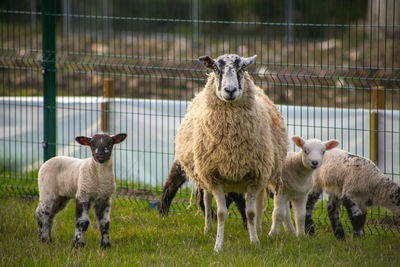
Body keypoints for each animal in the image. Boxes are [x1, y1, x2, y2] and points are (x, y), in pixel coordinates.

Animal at [175, 54, 288, 251]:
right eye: (215, 68)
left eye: (242, 68)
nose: (230, 90)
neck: (232, 144)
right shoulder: (214, 175)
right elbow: (221, 213)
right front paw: (218, 246)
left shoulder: (255, 174)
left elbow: (251, 212)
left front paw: (254, 241)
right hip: (204, 175)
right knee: (206, 199)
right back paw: (208, 229)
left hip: (264, 172)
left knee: (259, 204)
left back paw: (258, 229)